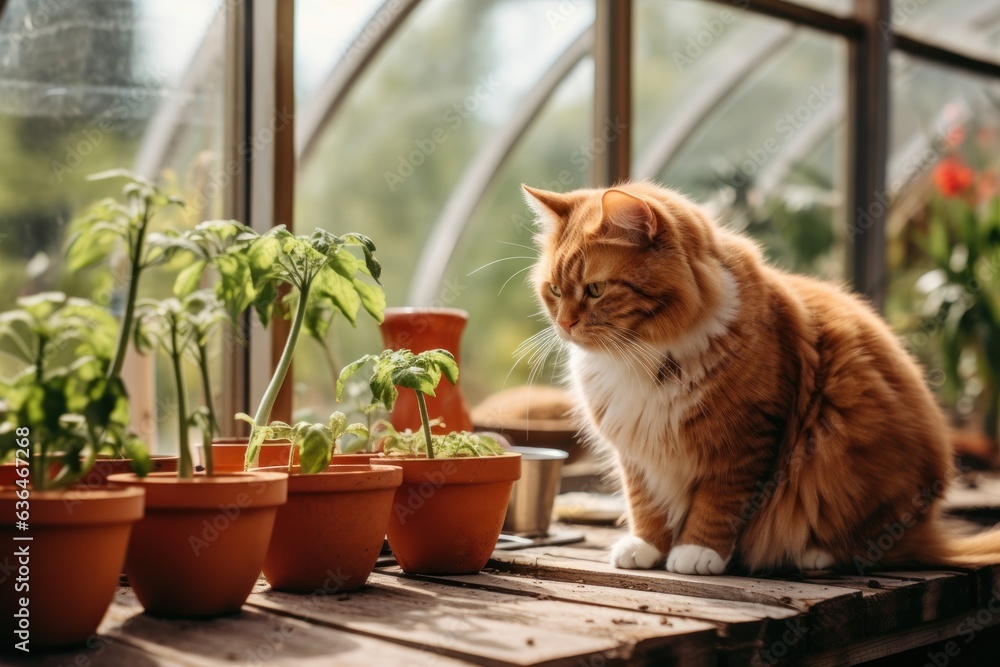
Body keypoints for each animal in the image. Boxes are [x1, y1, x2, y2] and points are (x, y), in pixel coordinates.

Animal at [524, 181, 1000, 576]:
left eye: (595, 290)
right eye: (555, 291)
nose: (564, 325)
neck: (641, 356)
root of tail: (928, 529)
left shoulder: (744, 439)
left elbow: (720, 503)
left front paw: (697, 553)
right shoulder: (638, 447)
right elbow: (646, 503)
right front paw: (646, 547)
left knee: (871, 545)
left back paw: (812, 555)